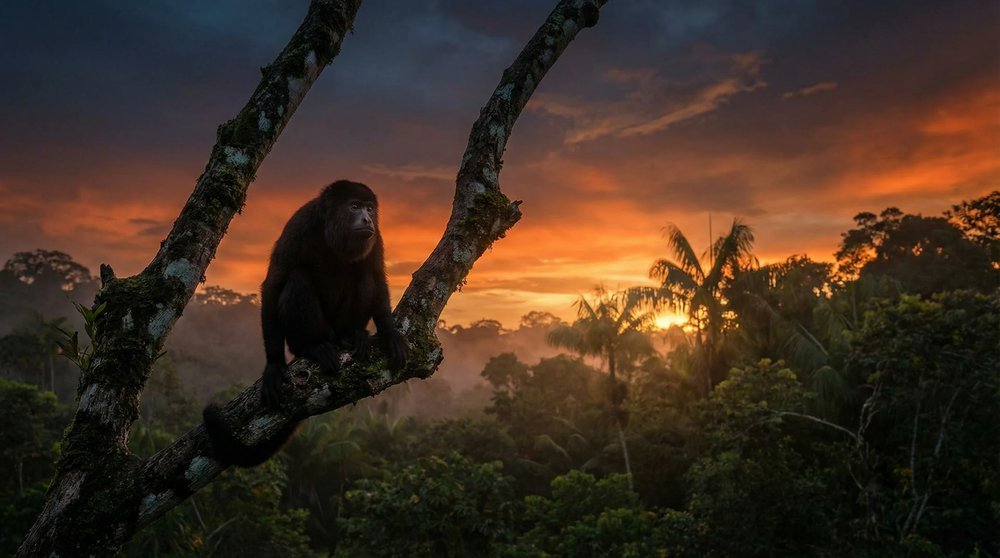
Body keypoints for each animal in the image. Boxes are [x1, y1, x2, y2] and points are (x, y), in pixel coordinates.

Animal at [203, 180, 407, 466]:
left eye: (370, 208)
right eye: (354, 206)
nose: (368, 219)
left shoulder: (375, 237)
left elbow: (377, 276)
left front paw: (389, 333)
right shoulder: (298, 227)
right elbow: (273, 284)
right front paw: (274, 364)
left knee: (364, 274)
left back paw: (352, 335)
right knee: (297, 278)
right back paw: (312, 347)